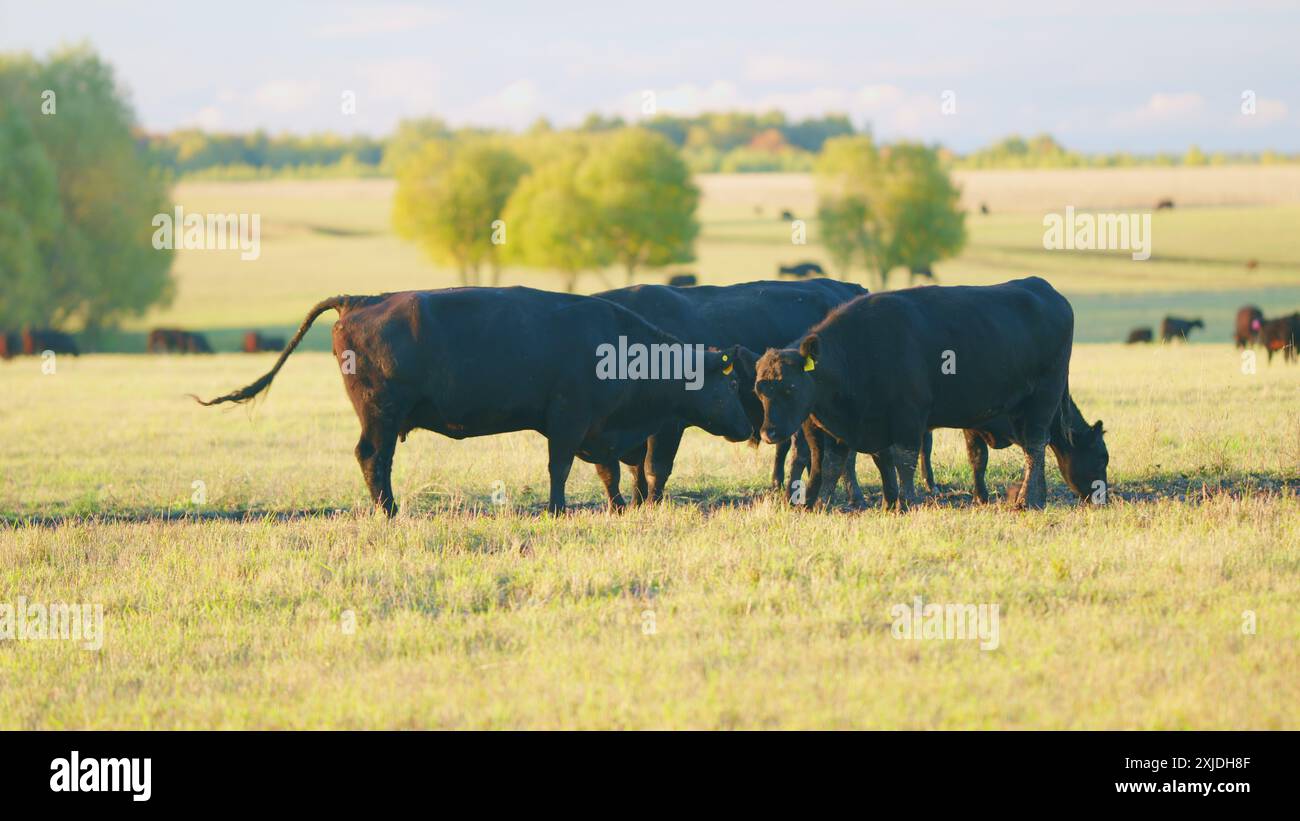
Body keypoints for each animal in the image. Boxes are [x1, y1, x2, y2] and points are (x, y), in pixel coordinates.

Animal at [196, 287, 754, 516]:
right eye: (728, 386)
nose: (749, 427)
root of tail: (359, 300)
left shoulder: (598, 429)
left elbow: (610, 471)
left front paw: (616, 507)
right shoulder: (568, 421)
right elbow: (561, 468)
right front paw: (557, 510)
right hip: (380, 416)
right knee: (373, 458)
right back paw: (389, 511)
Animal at [595, 279, 869, 505]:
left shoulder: (668, 426)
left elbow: (655, 468)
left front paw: (651, 505)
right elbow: (634, 470)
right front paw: (635, 504)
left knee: (827, 455)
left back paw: (850, 498)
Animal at [915, 397, 1108, 504]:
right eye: (1102, 459)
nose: (1103, 496)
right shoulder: (972, 425)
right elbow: (979, 458)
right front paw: (981, 498)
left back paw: (931, 485)